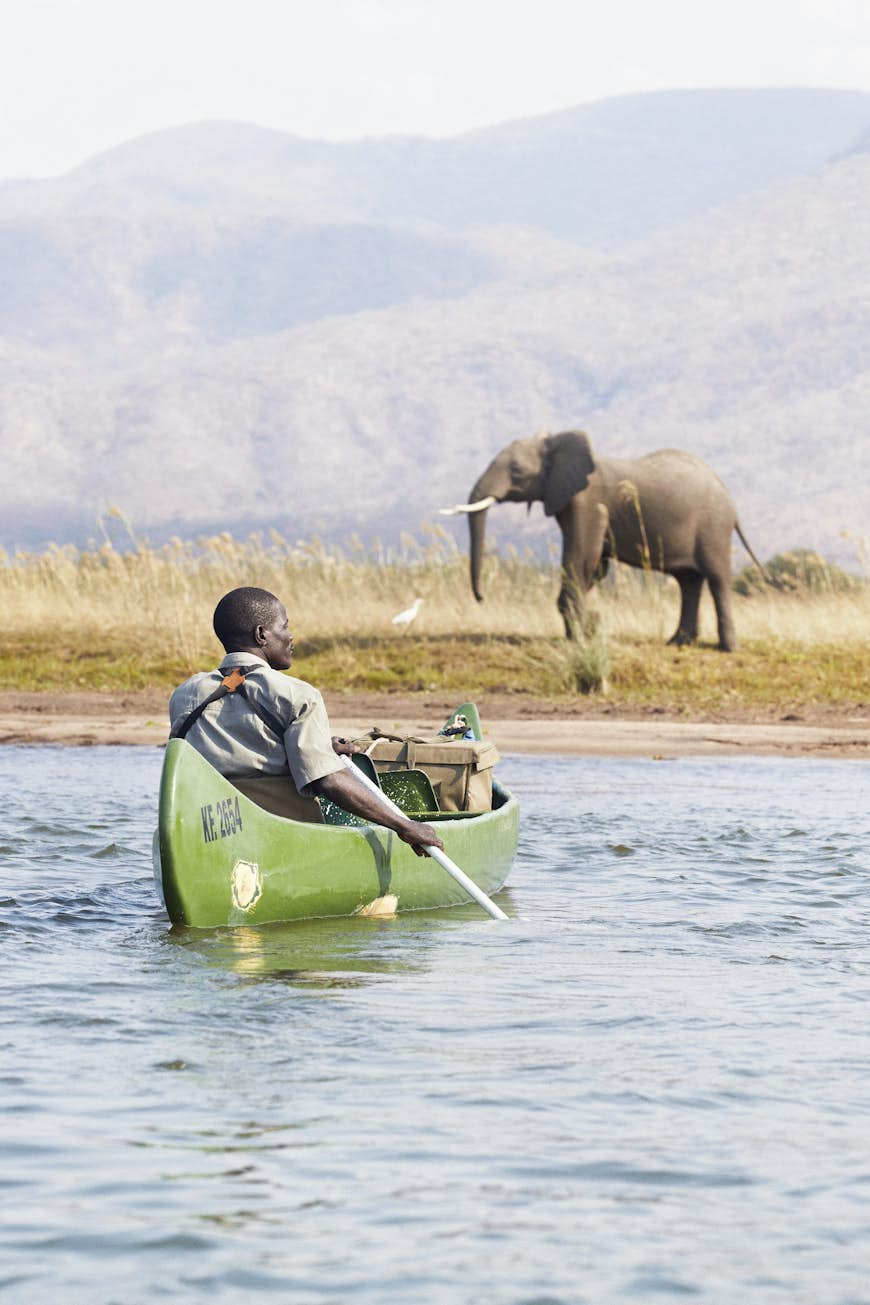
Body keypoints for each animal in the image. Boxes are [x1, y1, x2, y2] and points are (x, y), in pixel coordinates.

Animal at [443, 430, 766, 649]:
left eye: (517, 471)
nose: (481, 598)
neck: (557, 443)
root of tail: (730, 500)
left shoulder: (588, 503)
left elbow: (581, 557)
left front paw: (577, 639)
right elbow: (592, 567)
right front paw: (584, 632)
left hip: (713, 527)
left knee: (717, 579)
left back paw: (727, 649)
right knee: (689, 581)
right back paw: (677, 643)